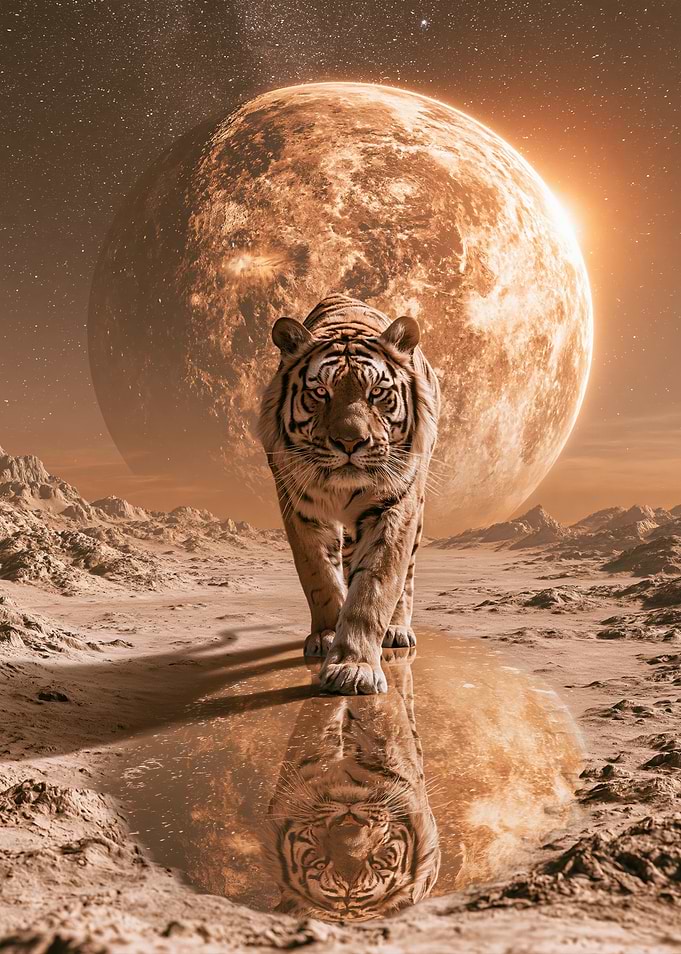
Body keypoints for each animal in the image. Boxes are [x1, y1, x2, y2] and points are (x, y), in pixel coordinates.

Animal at [259, 294, 440, 695]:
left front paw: (354, 667)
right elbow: (319, 575)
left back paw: (396, 630)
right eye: (320, 393)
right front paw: (326, 635)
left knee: (406, 576)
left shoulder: (394, 504)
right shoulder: (297, 505)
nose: (350, 442)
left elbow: (375, 586)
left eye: (377, 394)